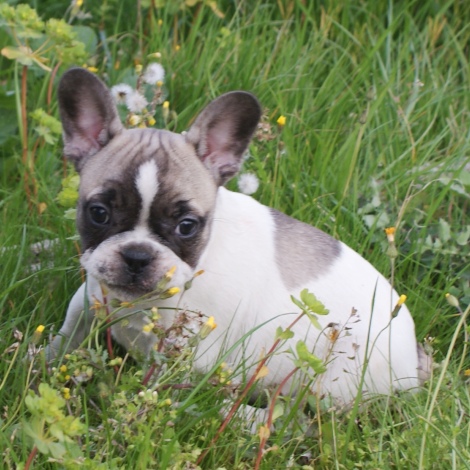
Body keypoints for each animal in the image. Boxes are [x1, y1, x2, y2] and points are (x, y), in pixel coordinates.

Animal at [48, 68, 430, 406]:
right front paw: (44, 359)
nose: (138, 256)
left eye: (187, 226)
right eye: (99, 213)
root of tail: (412, 364)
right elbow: (68, 332)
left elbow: (160, 391)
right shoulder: (88, 297)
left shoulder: (184, 357)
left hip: (329, 384)